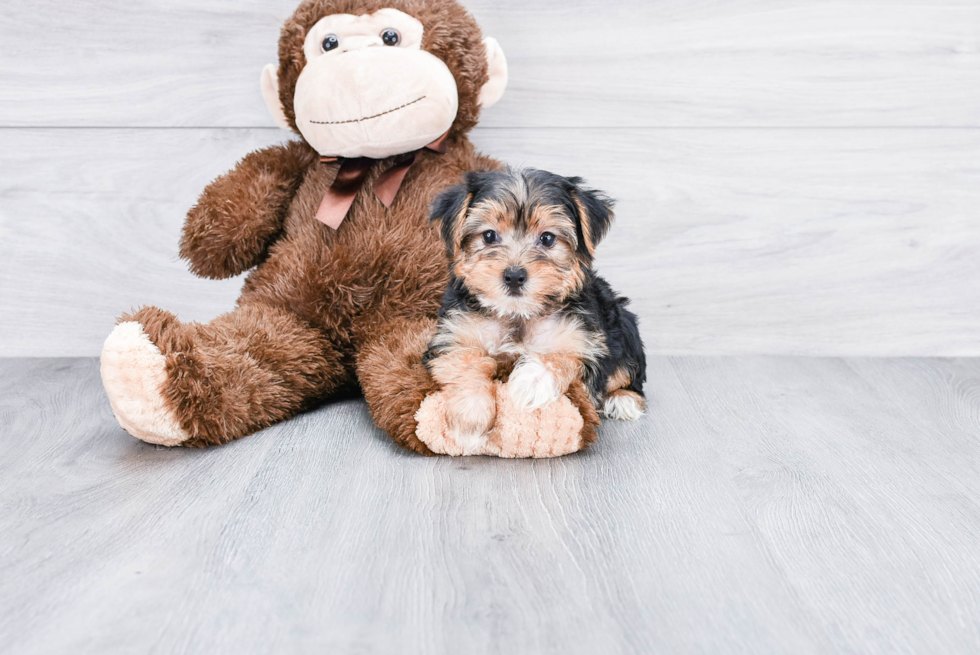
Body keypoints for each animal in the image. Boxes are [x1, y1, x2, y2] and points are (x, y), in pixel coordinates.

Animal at [424, 169, 648, 454]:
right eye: (489, 236)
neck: (519, 313)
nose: (514, 276)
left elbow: (565, 357)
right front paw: (469, 419)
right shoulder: (453, 335)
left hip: (624, 325)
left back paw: (623, 399)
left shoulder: (585, 341)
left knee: (628, 372)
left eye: (547, 238)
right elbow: (465, 361)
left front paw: (532, 380)